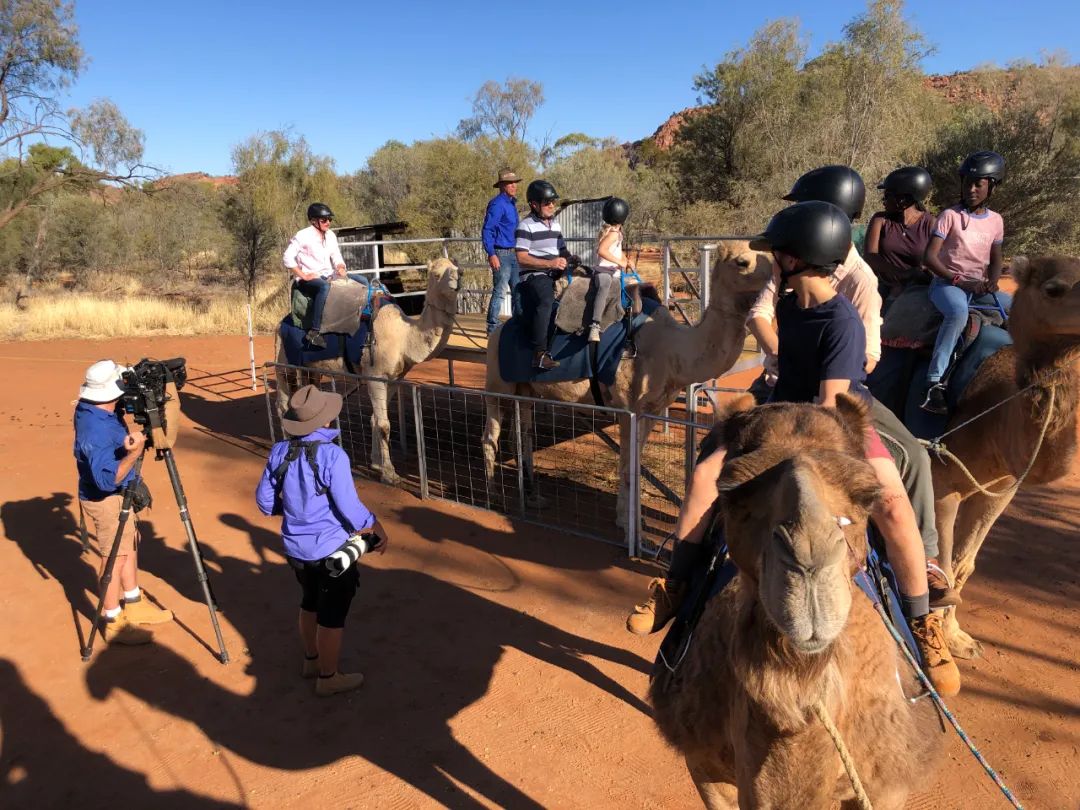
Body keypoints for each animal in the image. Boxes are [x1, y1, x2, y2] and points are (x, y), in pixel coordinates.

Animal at [274, 260, 460, 486]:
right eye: (435, 274)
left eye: (456, 268)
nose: (457, 280)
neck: (403, 336)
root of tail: (279, 324)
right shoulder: (376, 376)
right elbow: (384, 424)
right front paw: (390, 474)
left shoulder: (393, 379)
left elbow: (374, 419)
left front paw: (376, 463)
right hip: (285, 363)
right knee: (283, 405)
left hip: (311, 367)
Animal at [479, 243, 768, 533]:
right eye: (742, 262)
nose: (773, 280)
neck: (672, 349)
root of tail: (500, 328)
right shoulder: (628, 407)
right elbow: (628, 466)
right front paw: (631, 527)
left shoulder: (653, 409)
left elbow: (634, 462)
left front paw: (629, 519)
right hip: (497, 382)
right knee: (490, 435)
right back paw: (494, 497)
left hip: (526, 388)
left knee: (522, 434)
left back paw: (532, 496)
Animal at [928, 257, 1080, 660]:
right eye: (1053, 289)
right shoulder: (940, 480)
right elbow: (942, 564)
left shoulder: (1000, 489)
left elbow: (962, 565)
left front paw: (960, 640)